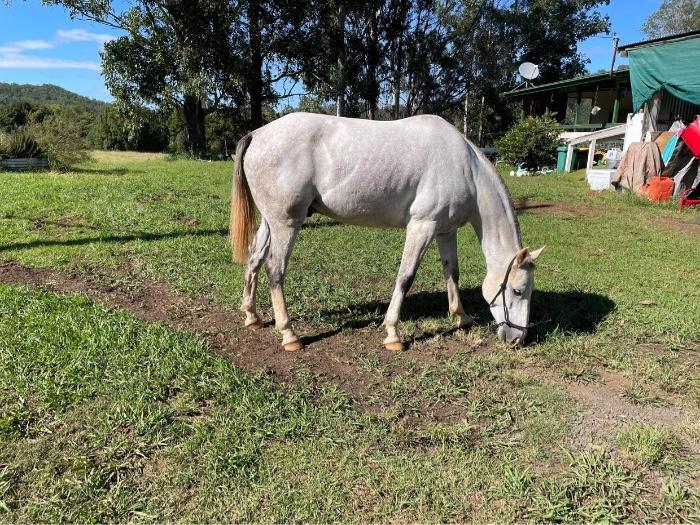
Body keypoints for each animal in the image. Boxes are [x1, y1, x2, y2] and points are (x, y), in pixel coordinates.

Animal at [230, 112, 543, 352]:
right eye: (517, 290)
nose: (518, 338)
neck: (465, 168)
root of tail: (258, 134)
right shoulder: (422, 226)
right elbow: (405, 277)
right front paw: (393, 334)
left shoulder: (445, 231)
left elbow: (452, 273)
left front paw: (462, 318)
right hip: (286, 223)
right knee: (275, 270)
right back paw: (290, 335)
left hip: (270, 223)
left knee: (254, 261)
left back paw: (252, 317)